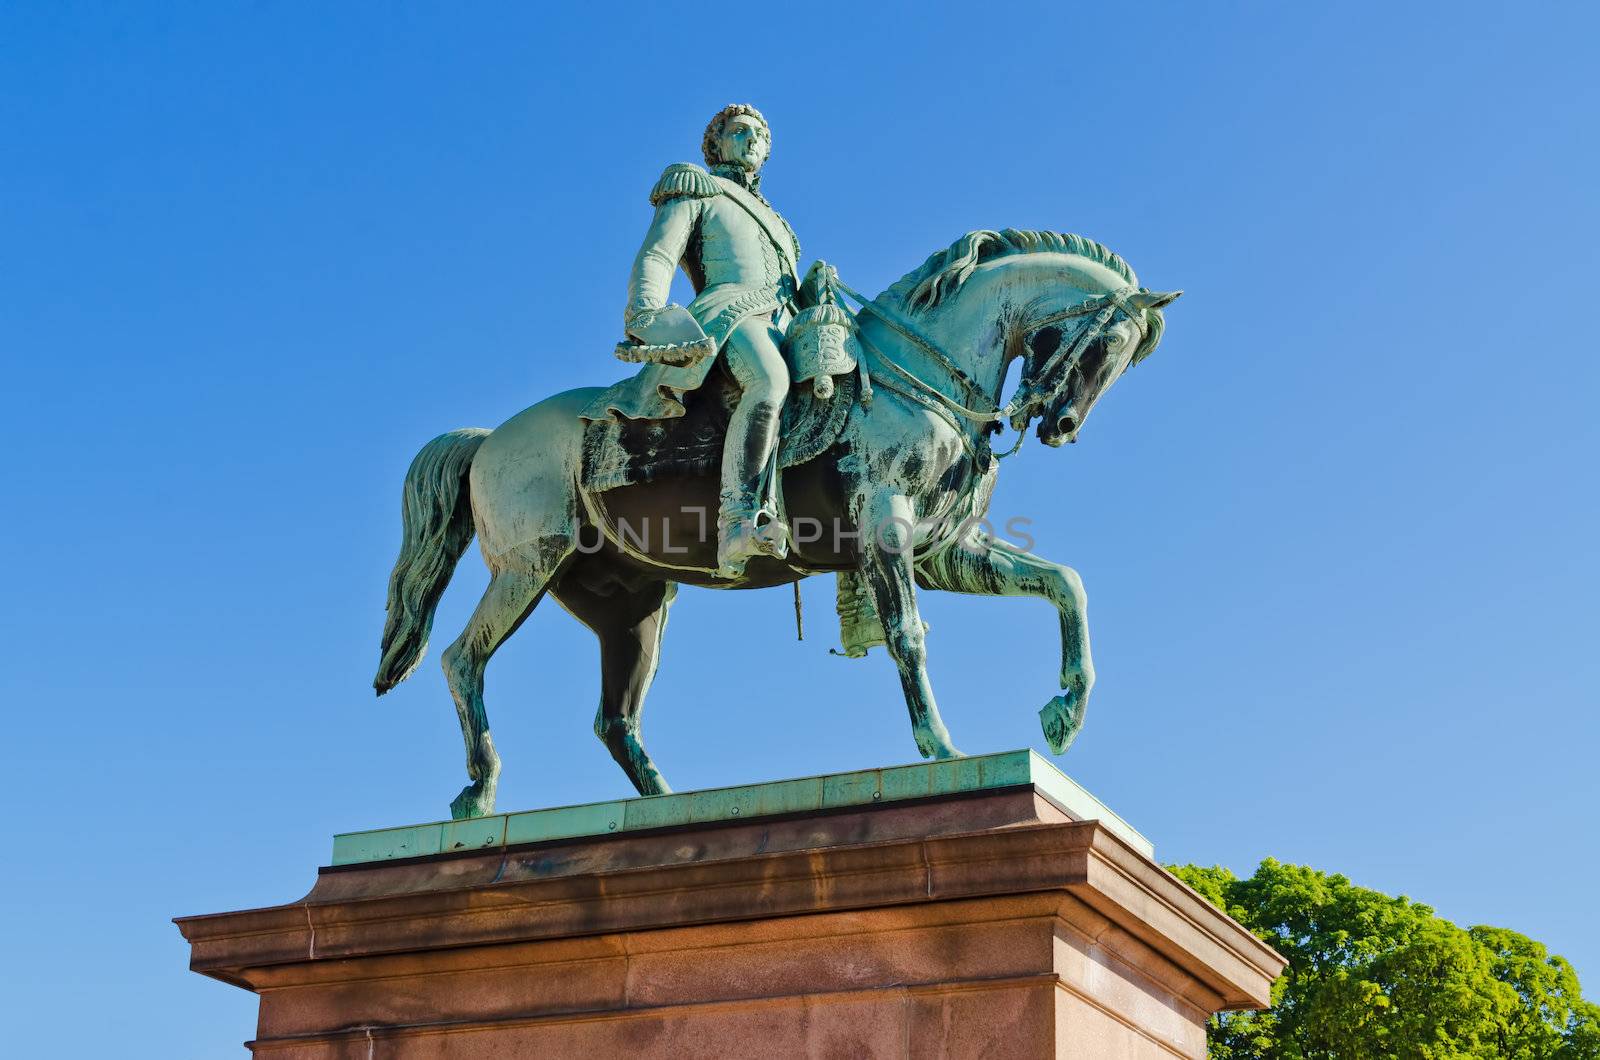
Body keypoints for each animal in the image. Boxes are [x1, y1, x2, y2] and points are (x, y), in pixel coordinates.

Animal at [371, 230, 1177, 819]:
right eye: (1111, 345)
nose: (1059, 424)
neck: (920, 381)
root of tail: (488, 437)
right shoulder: (886, 533)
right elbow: (908, 635)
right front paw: (943, 749)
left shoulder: (946, 551)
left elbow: (1065, 584)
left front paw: (1065, 714)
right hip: (529, 566)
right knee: (462, 660)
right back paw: (480, 790)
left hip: (630, 603)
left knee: (615, 718)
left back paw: (667, 806)